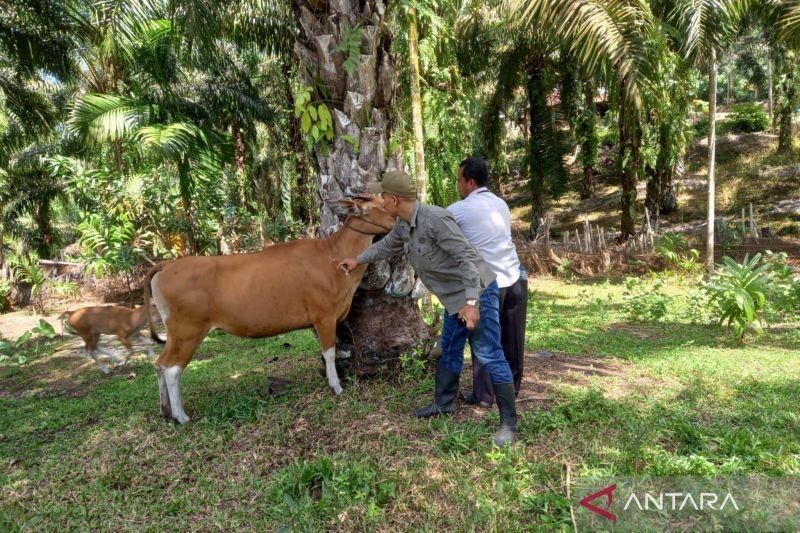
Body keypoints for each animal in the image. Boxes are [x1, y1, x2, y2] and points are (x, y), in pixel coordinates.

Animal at [145, 193, 396, 422]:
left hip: (176, 333)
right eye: (380, 206)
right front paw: (335, 385)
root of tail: (165, 266)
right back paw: (180, 415)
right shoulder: (324, 316)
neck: (332, 256)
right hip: (188, 330)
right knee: (171, 368)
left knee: (159, 364)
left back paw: (165, 410)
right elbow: (329, 352)